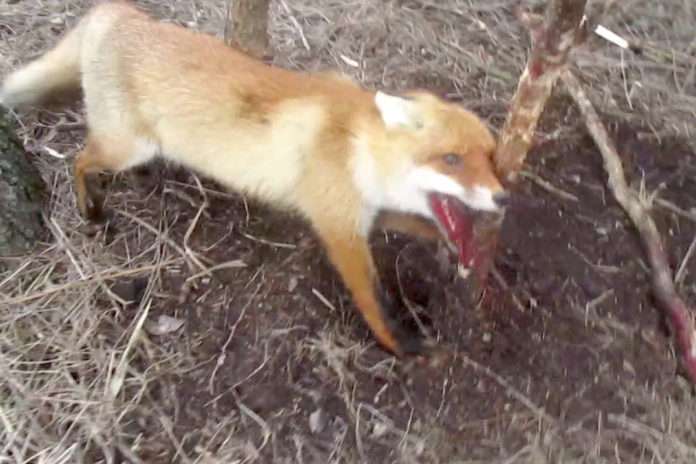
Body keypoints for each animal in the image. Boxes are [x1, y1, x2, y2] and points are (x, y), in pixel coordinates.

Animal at [0, 1, 508, 357]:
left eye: (489, 157)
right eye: (451, 159)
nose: (503, 198)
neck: (354, 147)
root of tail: (118, 11)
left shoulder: (359, 210)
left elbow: (421, 224)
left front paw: (461, 250)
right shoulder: (339, 228)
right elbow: (374, 300)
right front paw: (400, 344)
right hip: (125, 144)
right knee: (79, 159)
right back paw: (91, 208)